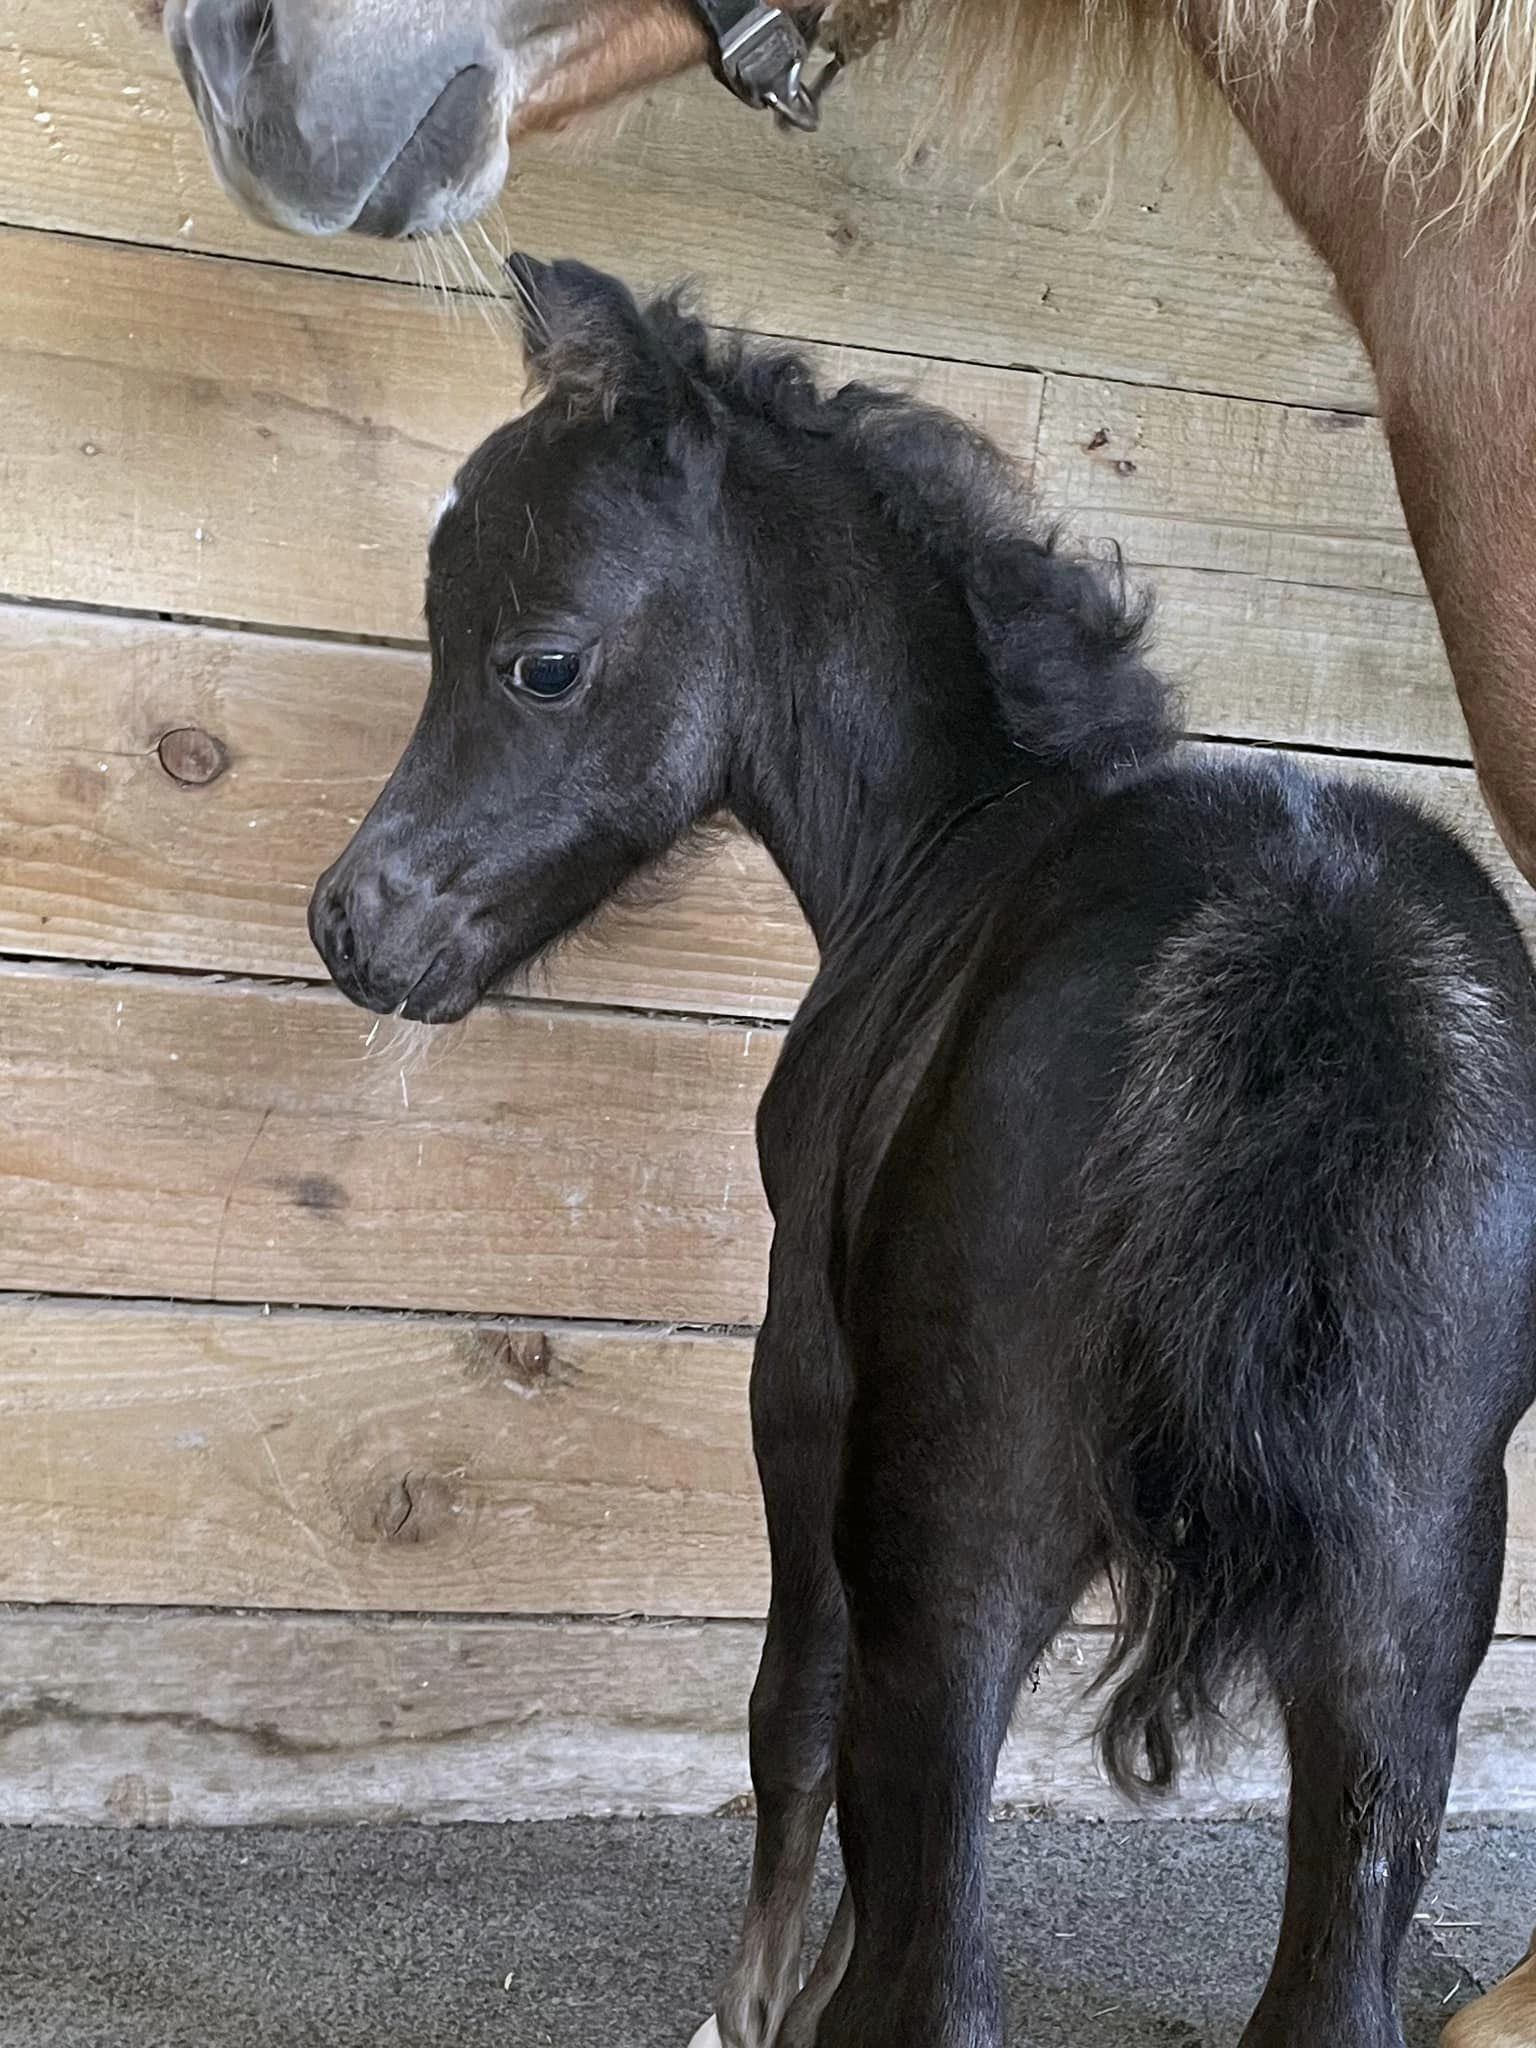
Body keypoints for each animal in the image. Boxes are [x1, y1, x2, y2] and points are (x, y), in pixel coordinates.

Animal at [308, 254, 1536, 2048]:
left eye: (539, 662)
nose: (354, 925)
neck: (951, 833)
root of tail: (1295, 960)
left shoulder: (806, 1376)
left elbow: (791, 1710)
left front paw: (750, 2004)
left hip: (956, 1531)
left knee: (937, 1950)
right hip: (1402, 1615)